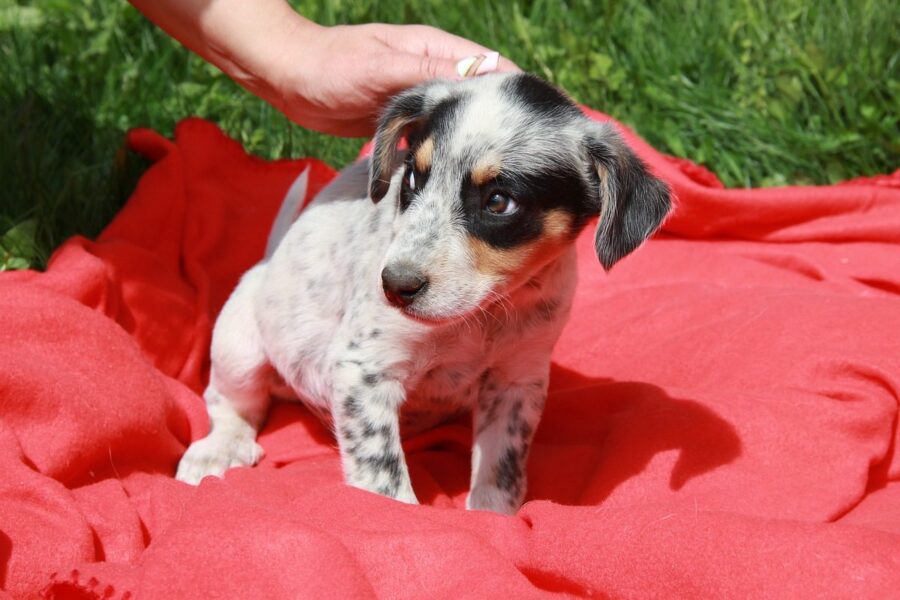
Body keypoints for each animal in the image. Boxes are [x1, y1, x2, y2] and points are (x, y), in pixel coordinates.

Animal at [176, 70, 668, 510]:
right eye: (412, 180)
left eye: (499, 202)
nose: (393, 286)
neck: (482, 318)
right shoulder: (364, 370)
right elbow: (384, 478)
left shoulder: (518, 379)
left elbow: (501, 470)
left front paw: (495, 518)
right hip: (239, 345)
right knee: (230, 402)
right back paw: (218, 450)